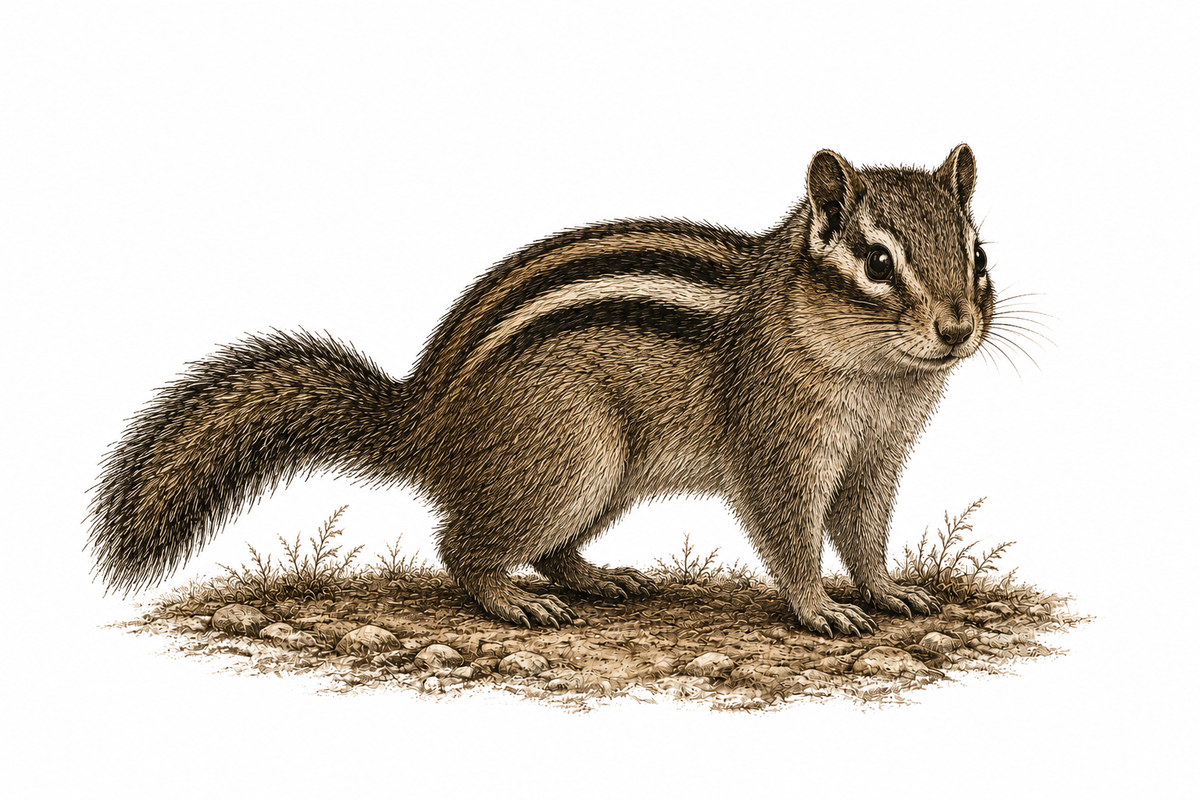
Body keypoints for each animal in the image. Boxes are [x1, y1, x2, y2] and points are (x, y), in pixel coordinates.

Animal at [89, 145, 994, 638]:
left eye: (977, 253)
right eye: (877, 262)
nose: (958, 328)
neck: (879, 380)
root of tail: (424, 421)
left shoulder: (877, 455)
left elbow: (865, 530)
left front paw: (887, 591)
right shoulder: (776, 444)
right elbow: (791, 533)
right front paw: (818, 608)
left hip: (598, 479)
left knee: (549, 549)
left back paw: (597, 578)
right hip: (568, 457)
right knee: (460, 545)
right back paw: (510, 602)